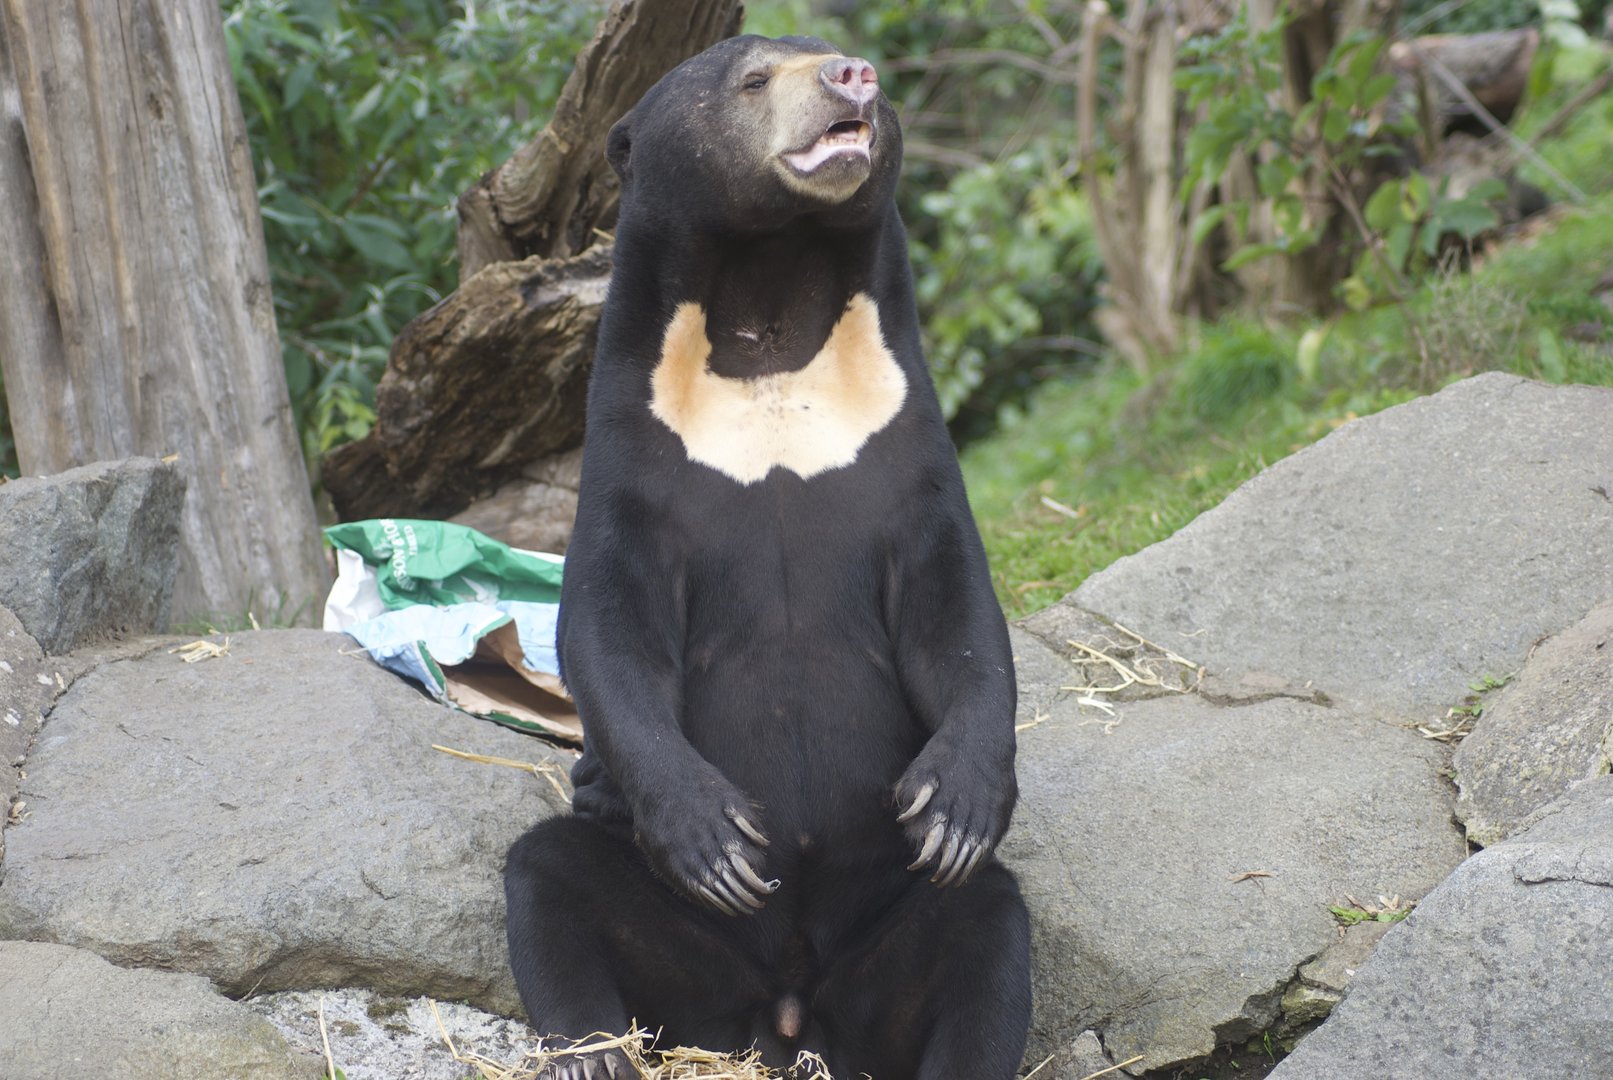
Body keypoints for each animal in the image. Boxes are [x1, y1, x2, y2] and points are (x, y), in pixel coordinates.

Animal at [503, 34, 1032, 1080]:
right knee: (545, 877)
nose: (853, 76)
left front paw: (954, 806)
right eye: (752, 80)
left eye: (840, 58)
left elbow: (953, 611)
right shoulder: (632, 448)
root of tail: (786, 1019)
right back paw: (593, 1051)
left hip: (885, 937)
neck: (773, 316)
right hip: (684, 952)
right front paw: (716, 839)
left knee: (985, 924)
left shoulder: (901, 440)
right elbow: (607, 628)